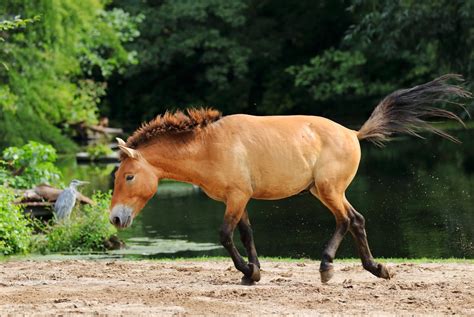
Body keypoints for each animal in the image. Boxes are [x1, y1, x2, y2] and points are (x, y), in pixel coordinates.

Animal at [108, 74, 470, 284]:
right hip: (324, 191)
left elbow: (225, 235)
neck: (210, 146)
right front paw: (253, 273)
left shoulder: (236, 197)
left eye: (128, 176)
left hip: (328, 189)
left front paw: (247, 271)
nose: (115, 218)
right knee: (356, 219)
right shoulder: (240, 199)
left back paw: (327, 268)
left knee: (344, 220)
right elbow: (247, 234)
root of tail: (353, 133)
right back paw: (377, 268)